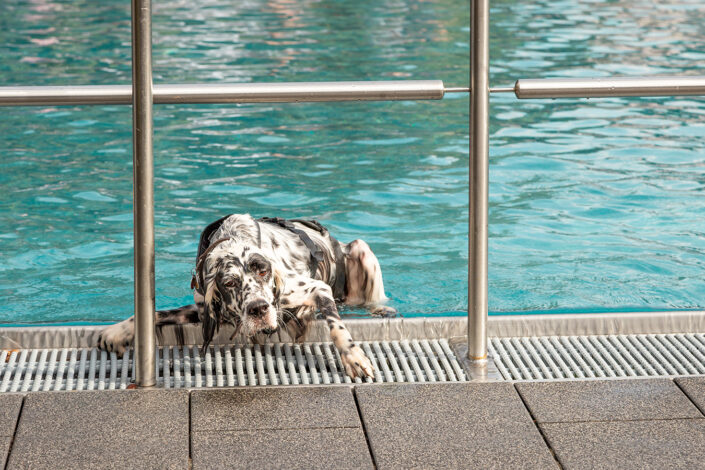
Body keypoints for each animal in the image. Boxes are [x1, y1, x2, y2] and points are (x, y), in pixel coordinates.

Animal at [95, 213, 394, 378]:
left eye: (263, 271)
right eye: (230, 283)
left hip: (361, 249)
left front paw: (354, 357)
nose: (258, 309)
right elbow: (156, 313)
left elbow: (336, 327)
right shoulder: (204, 311)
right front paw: (116, 331)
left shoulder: (315, 289)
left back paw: (381, 310)